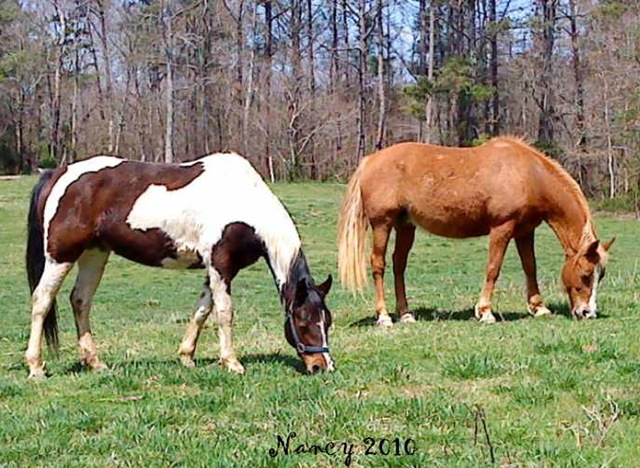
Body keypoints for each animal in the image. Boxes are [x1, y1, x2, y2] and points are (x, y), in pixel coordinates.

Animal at [25, 153, 334, 379]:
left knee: (80, 301)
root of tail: (58, 173)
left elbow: (202, 311)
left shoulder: (217, 269)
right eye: (302, 320)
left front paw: (187, 357)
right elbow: (224, 313)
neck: (243, 203)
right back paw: (36, 367)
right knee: (42, 300)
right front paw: (232, 362)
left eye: (327, 321)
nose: (322, 366)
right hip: (61, 255)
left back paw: (95, 362)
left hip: (94, 254)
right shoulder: (221, 265)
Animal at [338, 137, 615, 326]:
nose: (588, 312)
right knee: (378, 265)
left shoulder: (525, 231)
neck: (527, 174)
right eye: (586, 275)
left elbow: (530, 267)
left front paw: (539, 308)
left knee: (398, 265)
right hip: (382, 224)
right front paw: (485, 311)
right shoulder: (502, 228)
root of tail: (370, 160)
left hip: (406, 226)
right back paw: (384, 317)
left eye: (600, 275)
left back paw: (405, 314)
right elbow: (493, 268)